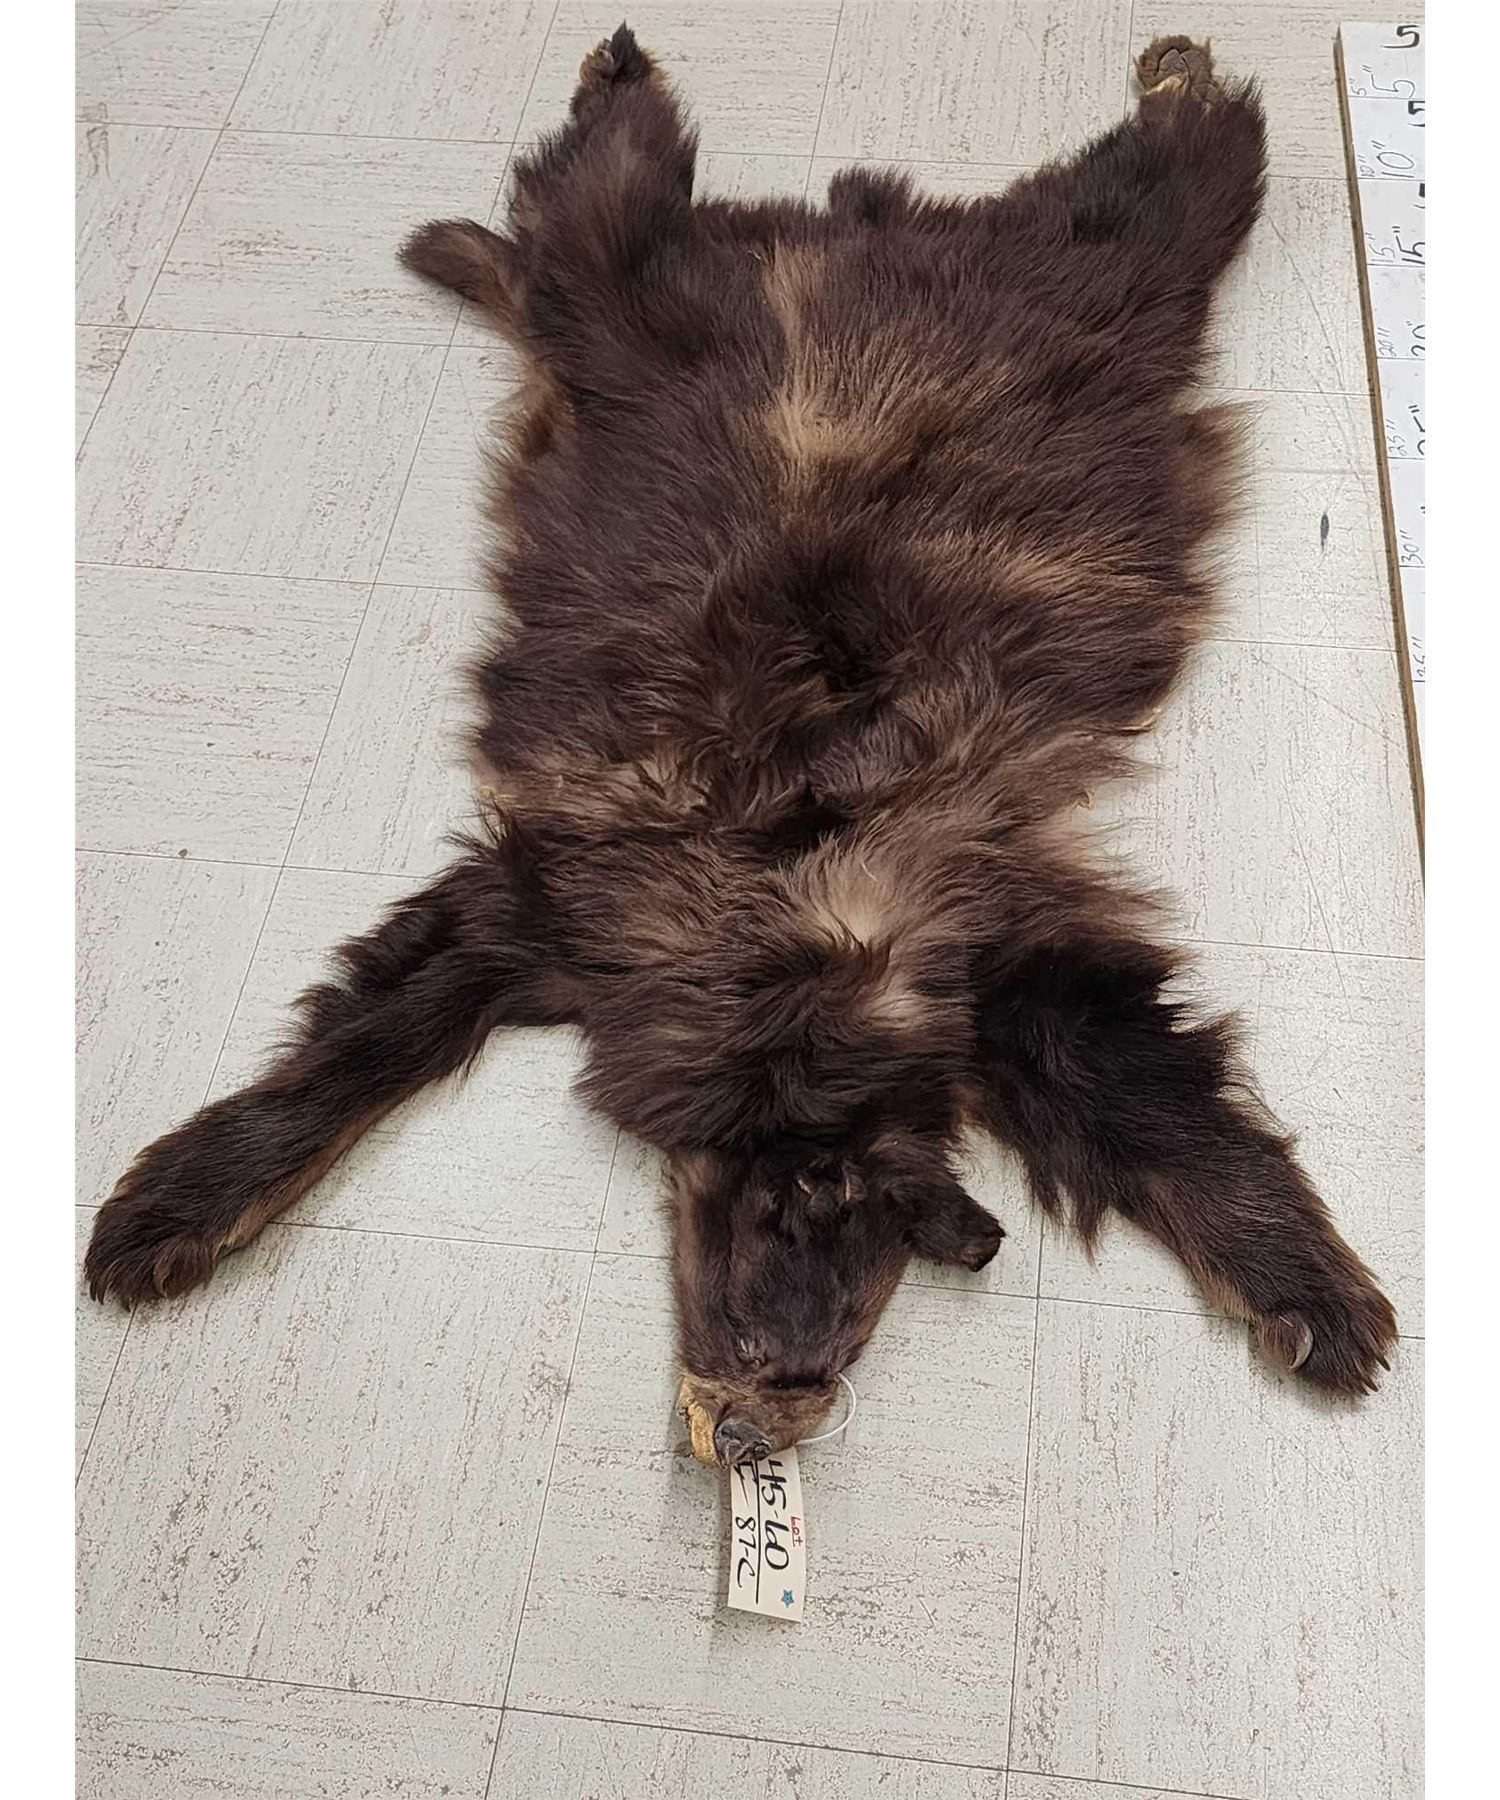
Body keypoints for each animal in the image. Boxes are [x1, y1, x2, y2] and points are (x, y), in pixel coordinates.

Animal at [86, 28, 1397, 1466]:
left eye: (852, 1323)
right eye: (788, 1231)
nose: (768, 1423)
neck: (795, 920)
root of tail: (831, 232)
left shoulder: (991, 947)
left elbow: (1146, 1094)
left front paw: (1311, 1296)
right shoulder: (574, 895)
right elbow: (376, 1035)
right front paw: (172, 1208)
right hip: (736, 294)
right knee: (613, 198)